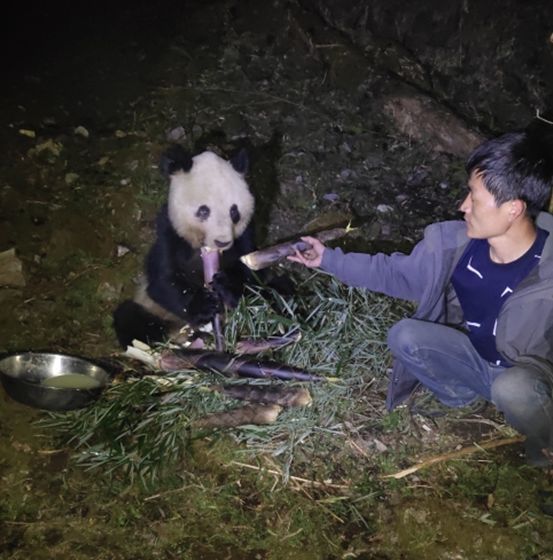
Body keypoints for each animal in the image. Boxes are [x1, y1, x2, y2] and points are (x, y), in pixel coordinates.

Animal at [115, 144, 258, 346]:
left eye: (234, 212)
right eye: (204, 210)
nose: (222, 241)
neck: (204, 249)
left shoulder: (245, 235)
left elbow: (250, 276)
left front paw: (226, 283)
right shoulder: (169, 233)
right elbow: (163, 281)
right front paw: (203, 304)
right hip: (152, 309)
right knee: (131, 320)